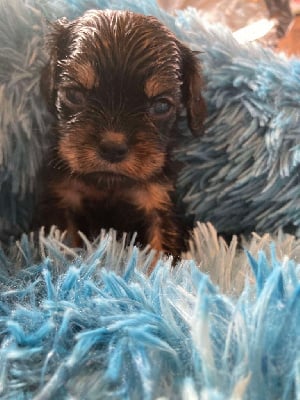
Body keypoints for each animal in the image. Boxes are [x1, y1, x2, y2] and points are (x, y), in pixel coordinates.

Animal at [35, 10, 206, 260]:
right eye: (74, 94)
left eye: (161, 106)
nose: (112, 148)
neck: (110, 184)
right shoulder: (64, 199)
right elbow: (65, 245)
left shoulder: (158, 204)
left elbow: (159, 254)